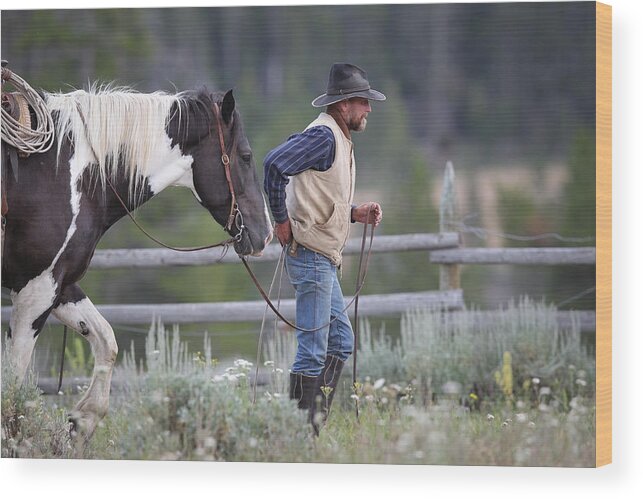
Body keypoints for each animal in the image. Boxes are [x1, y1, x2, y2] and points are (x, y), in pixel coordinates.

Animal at [0, 84, 272, 440]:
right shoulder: (36, 288)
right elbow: (12, 385)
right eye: (246, 156)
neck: (67, 173)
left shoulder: (59, 283)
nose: (265, 234)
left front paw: (82, 419)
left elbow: (107, 342)